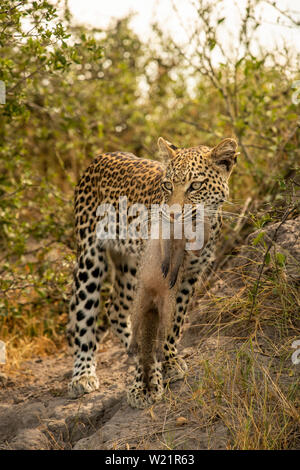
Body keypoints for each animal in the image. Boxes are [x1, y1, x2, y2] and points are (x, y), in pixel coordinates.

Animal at [67, 135, 238, 408]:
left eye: (195, 185)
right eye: (167, 185)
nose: (173, 214)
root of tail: (101, 156)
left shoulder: (190, 277)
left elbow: (174, 321)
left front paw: (168, 361)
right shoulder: (153, 276)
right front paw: (144, 385)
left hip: (128, 266)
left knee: (116, 308)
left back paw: (133, 346)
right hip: (91, 256)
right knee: (85, 311)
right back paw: (82, 375)